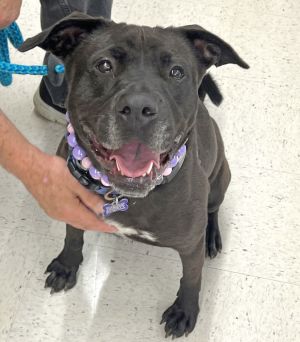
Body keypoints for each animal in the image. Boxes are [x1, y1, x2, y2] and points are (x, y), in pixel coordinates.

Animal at [20, 12, 248, 338]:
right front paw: (66, 266)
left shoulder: (189, 247)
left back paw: (212, 236)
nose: (140, 107)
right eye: (104, 65)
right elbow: (72, 237)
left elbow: (192, 279)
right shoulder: (69, 203)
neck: (122, 193)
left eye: (177, 72)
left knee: (213, 209)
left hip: (220, 179)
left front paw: (184, 311)